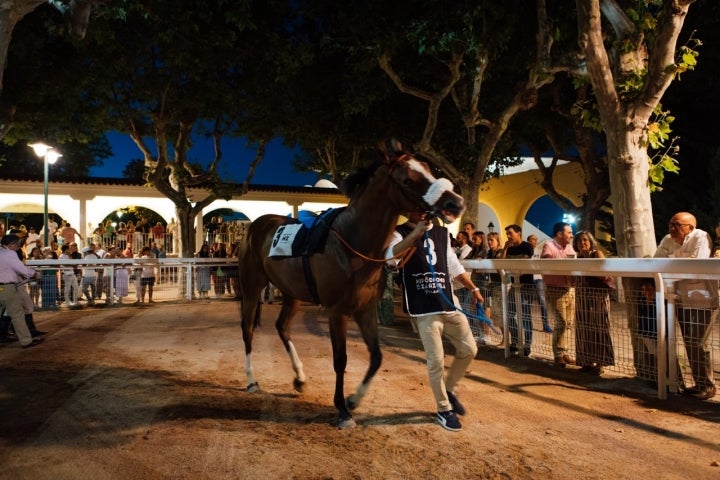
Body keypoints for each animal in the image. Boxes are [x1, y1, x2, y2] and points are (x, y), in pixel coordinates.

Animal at [239, 142, 464, 428]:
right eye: (408, 179)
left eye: (428, 168)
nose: (454, 202)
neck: (352, 244)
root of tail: (256, 224)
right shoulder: (338, 312)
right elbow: (340, 359)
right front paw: (342, 410)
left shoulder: (365, 310)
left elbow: (377, 357)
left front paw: (354, 400)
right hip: (251, 286)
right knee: (247, 329)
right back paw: (251, 380)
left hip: (292, 292)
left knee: (282, 326)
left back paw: (299, 378)